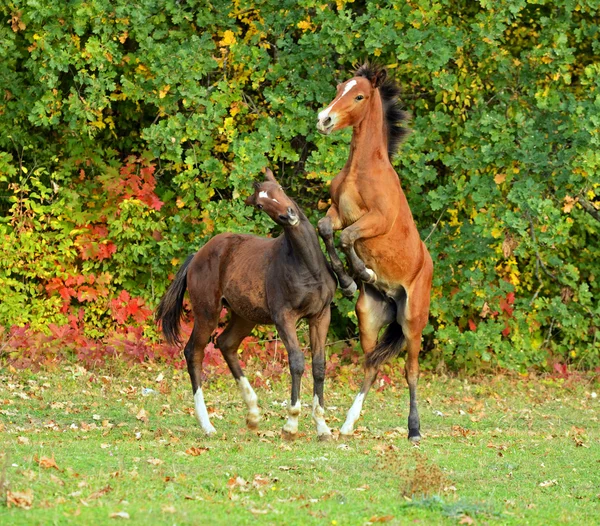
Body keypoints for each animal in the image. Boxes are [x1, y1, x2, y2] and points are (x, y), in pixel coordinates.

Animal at [156, 170, 338, 442]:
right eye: (260, 205)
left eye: (280, 188)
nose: (289, 215)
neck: (307, 265)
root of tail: (197, 255)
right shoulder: (284, 317)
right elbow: (296, 361)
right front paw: (291, 424)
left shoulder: (320, 315)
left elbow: (319, 365)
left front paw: (322, 427)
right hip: (207, 313)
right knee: (193, 352)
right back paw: (207, 424)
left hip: (244, 317)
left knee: (226, 343)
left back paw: (252, 413)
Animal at [316, 64, 434, 444]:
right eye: (339, 87)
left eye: (358, 96)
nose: (324, 119)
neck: (361, 170)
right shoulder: (337, 212)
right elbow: (326, 230)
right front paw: (349, 280)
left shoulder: (376, 221)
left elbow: (348, 237)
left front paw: (362, 273)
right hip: (368, 319)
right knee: (371, 364)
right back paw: (347, 424)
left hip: (413, 323)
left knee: (411, 371)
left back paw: (414, 430)